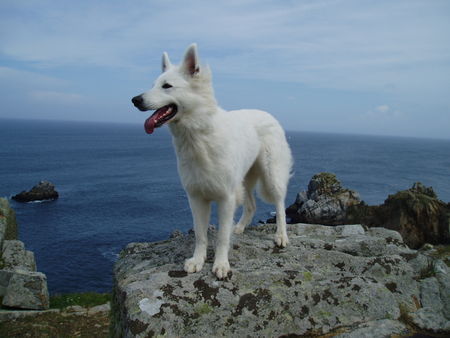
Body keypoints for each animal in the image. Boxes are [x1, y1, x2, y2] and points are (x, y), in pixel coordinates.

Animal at [131, 43, 292, 278]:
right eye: (153, 85)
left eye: (167, 86)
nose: (135, 100)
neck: (198, 136)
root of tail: (268, 114)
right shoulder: (196, 198)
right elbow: (200, 234)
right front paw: (197, 260)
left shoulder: (226, 198)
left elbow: (222, 237)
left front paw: (221, 264)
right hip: (244, 180)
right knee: (251, 205)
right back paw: (240, 227)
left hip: (271, 175)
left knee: (280, 205)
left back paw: (281, 236)